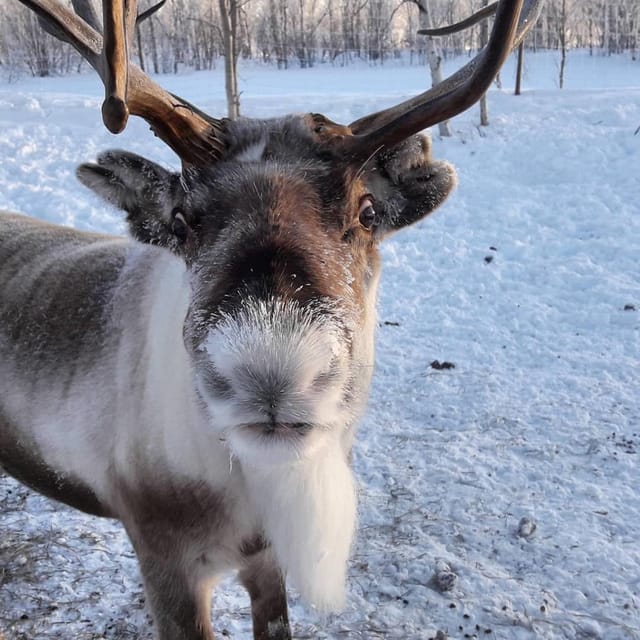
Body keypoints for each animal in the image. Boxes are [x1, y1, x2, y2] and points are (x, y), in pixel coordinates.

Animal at [0, 0, 542, 638]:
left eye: (367, 212)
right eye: (181, 221)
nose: (271, 373)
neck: (249, 487)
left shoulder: (264, 559)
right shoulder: (166, 562)